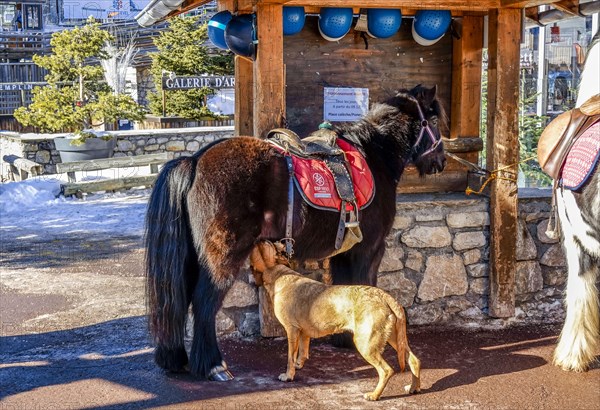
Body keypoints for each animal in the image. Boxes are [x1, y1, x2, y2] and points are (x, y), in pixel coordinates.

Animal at [144, 84, 446, 382]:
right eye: (432, 121)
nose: (440, 162)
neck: (376, 156)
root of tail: (194, 161)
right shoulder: (369, 249)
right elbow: (364, 285)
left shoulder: (344, 252)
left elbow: (346, 287)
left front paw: (342, 338)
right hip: (222, 257)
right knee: (203, 303)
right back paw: (213, 366)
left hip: (193, 257)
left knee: (180, 300)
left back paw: (177, 359)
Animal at [248, 240, 422, 400]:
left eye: (265, 244)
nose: (260, 238)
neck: (279, 273)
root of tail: (385, 296)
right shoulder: (304, 332)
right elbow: (303, 351)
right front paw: (299, 365)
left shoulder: (292, 330)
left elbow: (290, 356)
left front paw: (288, 375)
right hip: (395, 339)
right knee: (414, 360)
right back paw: (413, 387)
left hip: (366, 344)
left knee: (386, 370)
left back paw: (374, 395)